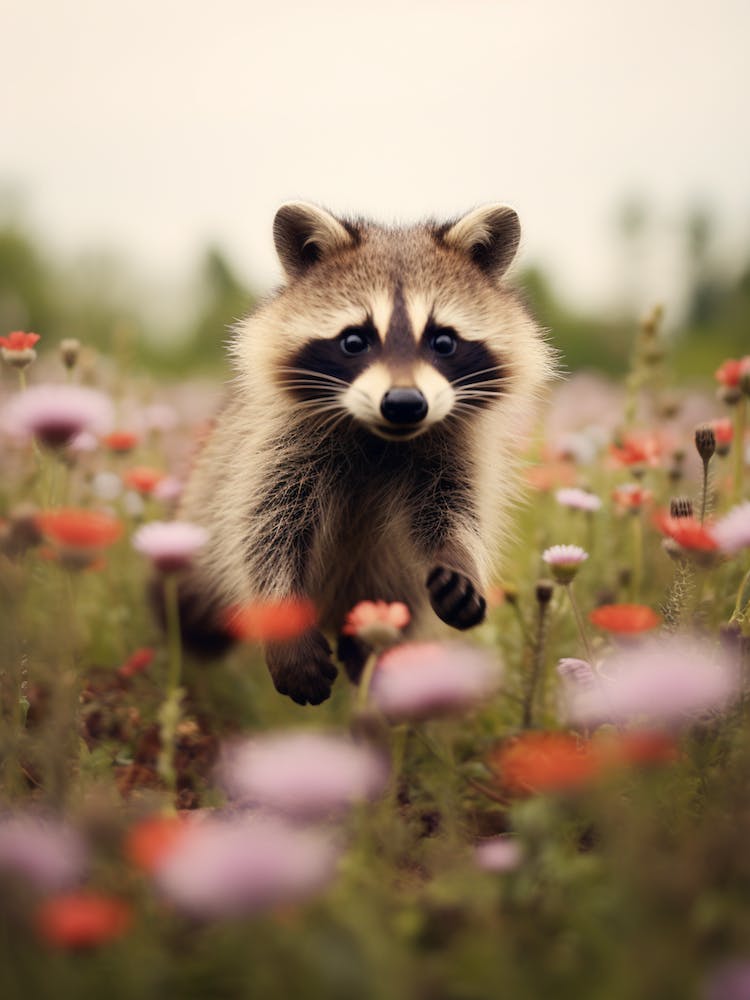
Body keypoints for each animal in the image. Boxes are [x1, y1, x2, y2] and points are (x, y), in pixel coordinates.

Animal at [175, 202, 554, 705]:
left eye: (443, 341)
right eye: (355, 340)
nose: (404, 403)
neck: (382, 437)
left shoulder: (455, 449)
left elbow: (454, 509)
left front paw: (459, 560)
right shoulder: (273, 444)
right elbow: (261, 527)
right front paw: (283, 625)